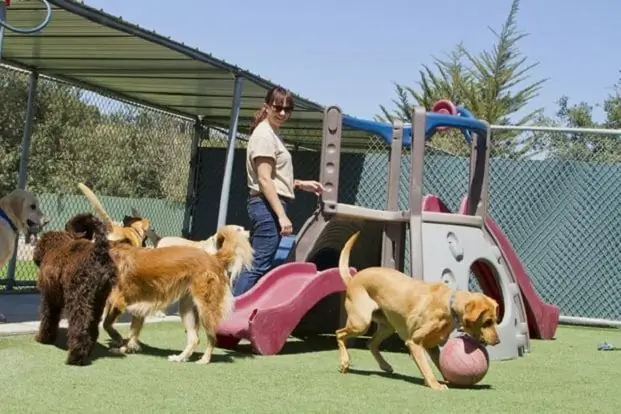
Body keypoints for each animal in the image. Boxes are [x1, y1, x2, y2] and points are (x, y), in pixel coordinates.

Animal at [33, 213, 117, 366]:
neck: (55, 245)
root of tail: (99, 252)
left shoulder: (49, 298)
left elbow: (48, 318)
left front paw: (43, 338)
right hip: (98, 301)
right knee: (92, 327)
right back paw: (87, 351)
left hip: (78, 298)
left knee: (80, 327)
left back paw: (75, 357)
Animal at [103, 225, 253, 364]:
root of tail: (214, 258)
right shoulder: (137, 309)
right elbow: (132, 333)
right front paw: (125, 348)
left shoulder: (118, 301)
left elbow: (106, 324)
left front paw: (118, 339)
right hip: (188, 308)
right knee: (194, 338)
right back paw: (180, 358)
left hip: (205, 308)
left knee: (212, 337)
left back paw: (204, 360)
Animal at [334, 233, 498, 392]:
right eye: (487, 322)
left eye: (495, 321)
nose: (497, 341)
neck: (449, 305)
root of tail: (353, 278)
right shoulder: (415, 342)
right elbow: (426, 367)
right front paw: (435, 385)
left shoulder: (432, 345)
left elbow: (440, 365)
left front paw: (447, 380)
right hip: (361, 323)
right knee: (339, 333)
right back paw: (345, 362)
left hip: (387, 326)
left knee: (371, 343)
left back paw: (385, 365)